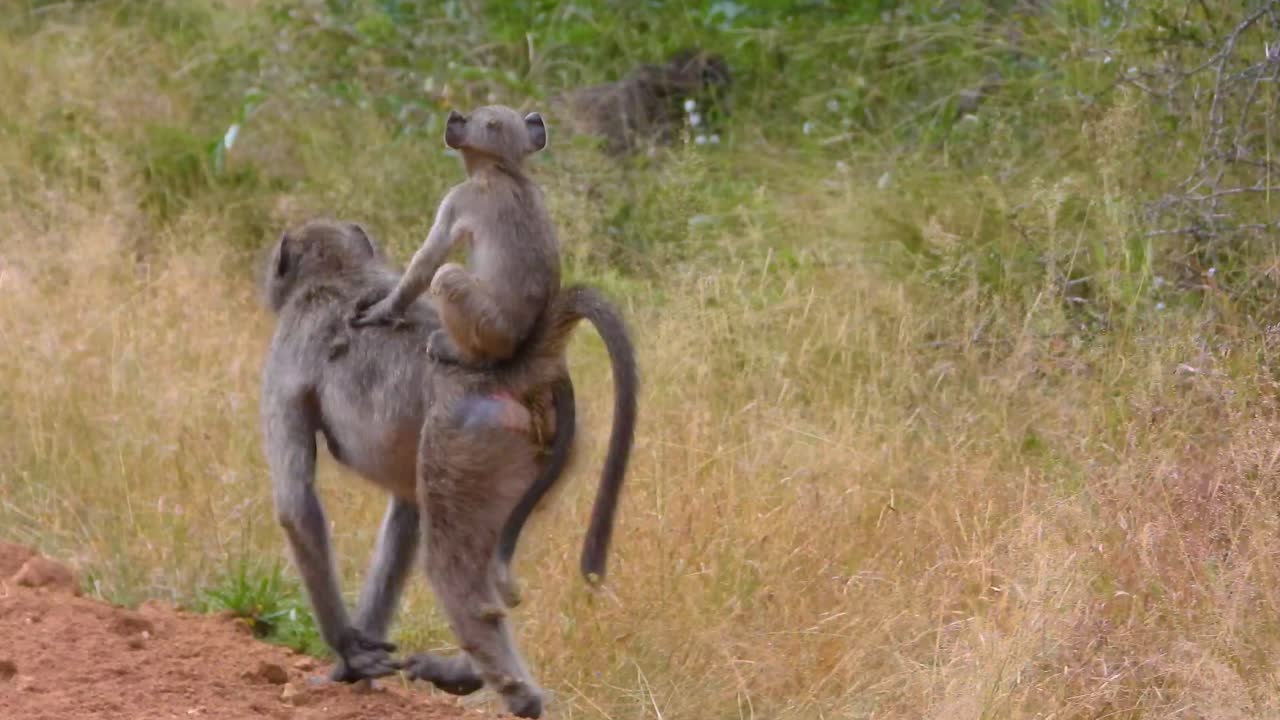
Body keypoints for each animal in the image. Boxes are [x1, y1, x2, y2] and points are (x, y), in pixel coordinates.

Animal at [260, 219, 637, 719]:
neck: (339, 275)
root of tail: (518, 369)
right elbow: (407, 512)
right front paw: (357, 665)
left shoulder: (284, 359)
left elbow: (296, 507)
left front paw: (348, 651)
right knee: (484, 557)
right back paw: (467, 672)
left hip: (465, 440)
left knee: (448, 566)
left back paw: (518, 694)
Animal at [350, 105, 560, 373]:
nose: (455, 117)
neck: (501, 170)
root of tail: (518, 345)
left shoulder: (458, 198)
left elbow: (429, 260)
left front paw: (383, 310)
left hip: (491, 328)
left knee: (447, 276)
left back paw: (464, 355)